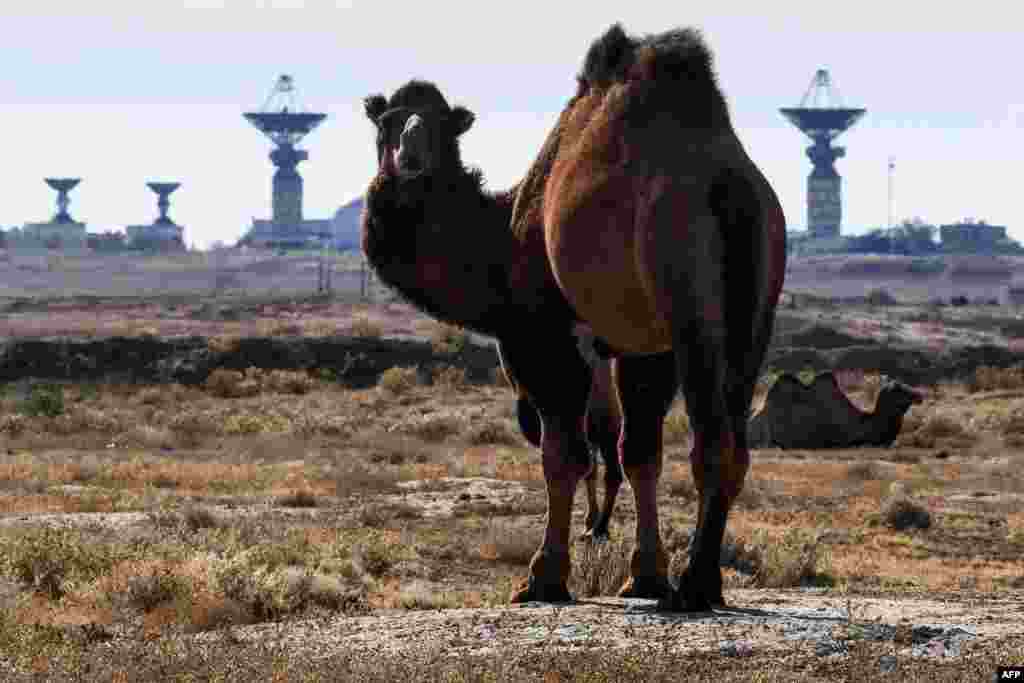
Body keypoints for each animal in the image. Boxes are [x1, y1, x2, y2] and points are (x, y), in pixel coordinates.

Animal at [364, 22, 786, 614]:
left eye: (443, 126)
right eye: (387, 121)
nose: (411, 152)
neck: (498, 240)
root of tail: (730, 185)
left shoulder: (541, 334)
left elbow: (562, 455)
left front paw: (542, 579)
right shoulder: (642, 346)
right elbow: (638, 453)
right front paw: (644, 577)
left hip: (687, 293)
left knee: (711, 440)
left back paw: (696, 586)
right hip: (755, 312)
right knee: (734, 438)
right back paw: (699, 583)